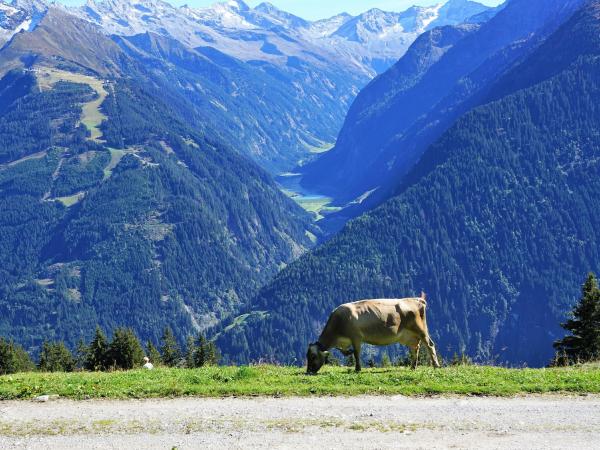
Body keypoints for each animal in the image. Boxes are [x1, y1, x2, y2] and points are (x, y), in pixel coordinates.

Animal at [304, 292, 440, 372]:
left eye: (313, 356)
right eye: (307, 356)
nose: (308, 371)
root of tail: (417, 299)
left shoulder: (356, 337)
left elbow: (356, 353)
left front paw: (357, 369)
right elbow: (348, 353)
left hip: (421, 329)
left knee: (429, 345)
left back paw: (436, 365)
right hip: (409, 336)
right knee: (415, 349)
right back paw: (413, 367)